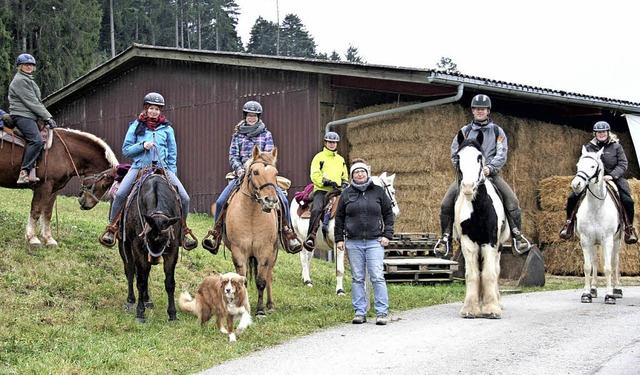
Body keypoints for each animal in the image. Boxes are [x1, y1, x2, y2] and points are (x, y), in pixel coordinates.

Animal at [118, 171, 182, 324]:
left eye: (165, 240)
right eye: (147, 238)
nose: (154, 259)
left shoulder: (173, 248)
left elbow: (169, 283)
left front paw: (172, 314)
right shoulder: (138, 247)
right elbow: (140, 281)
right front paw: (140, 313)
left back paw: (147, 299)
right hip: (124, 245)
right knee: (130, 270)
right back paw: (131, 300)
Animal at [221, 146, 278, 318]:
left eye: (276, 174)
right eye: (256, 172)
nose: (270, 201)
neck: (252, 215)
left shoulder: (265, 252)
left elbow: (261, 282)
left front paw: (260, 311)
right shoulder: (239, 252)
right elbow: (242, 281)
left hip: (273, 253)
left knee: (269, 275)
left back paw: (270, 305)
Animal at [456, 132, 510, 320]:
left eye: (479, 157)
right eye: (458, 157)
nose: (468, 186)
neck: (478, 208)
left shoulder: (490, 241)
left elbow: (489, 274)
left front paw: (492, 308)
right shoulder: (468, 242)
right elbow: (473, 275)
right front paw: (470, 308)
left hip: (499, 245)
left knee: (496, 269)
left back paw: (498, 301)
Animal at [572, 145, 624, 304]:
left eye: (593, 166)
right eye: (578, 165)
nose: (576, 185)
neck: (596, 207)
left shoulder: (608, 240)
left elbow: (607, 267)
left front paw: (609, 295)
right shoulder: (585, 240)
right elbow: (588, 267)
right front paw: (586, 293)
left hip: (617, 241)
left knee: (615, 262)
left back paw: (617, 289)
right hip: (594, 243)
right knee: (595, 262)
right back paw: (594, 288)